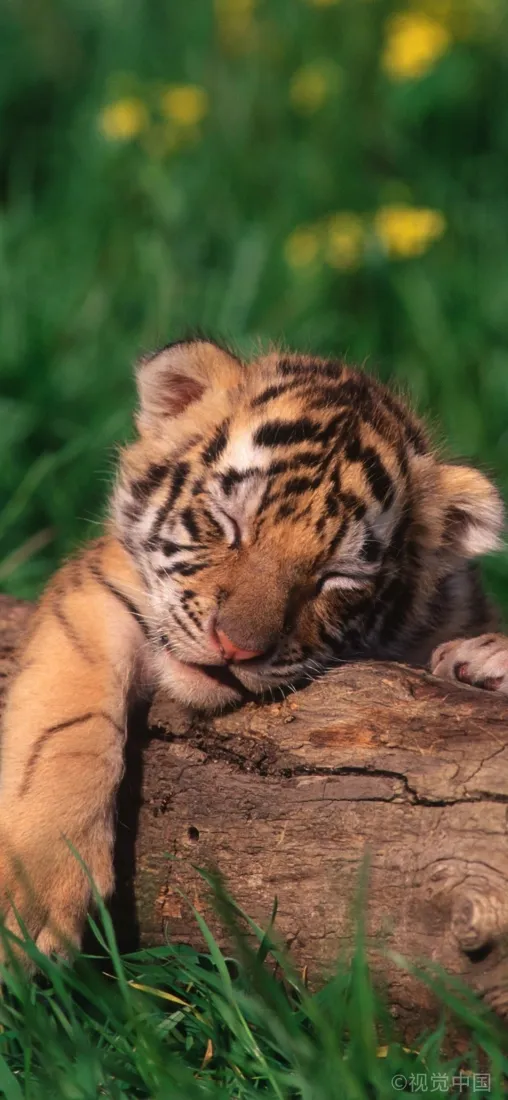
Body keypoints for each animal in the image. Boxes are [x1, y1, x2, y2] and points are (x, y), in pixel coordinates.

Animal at [1, 337, 507, 964]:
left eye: (338, 576)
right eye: (228, 522)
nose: (235, 647)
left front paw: (484, 659)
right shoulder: (101, 588)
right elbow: (61, 724)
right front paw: (32, 901)